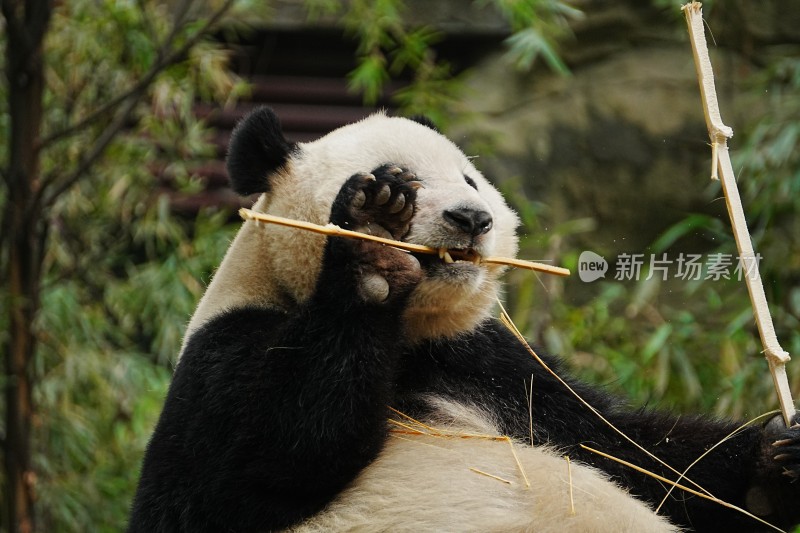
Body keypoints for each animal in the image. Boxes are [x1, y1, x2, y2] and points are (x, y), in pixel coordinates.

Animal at [130, 106, 800, 528]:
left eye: (470, 178)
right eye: (404, 179)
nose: (472, 218)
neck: (406, 341)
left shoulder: (489, 363)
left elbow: (632, 451)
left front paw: (773, 464)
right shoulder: (223, 357)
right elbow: (253, 466)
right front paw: (374, 238)